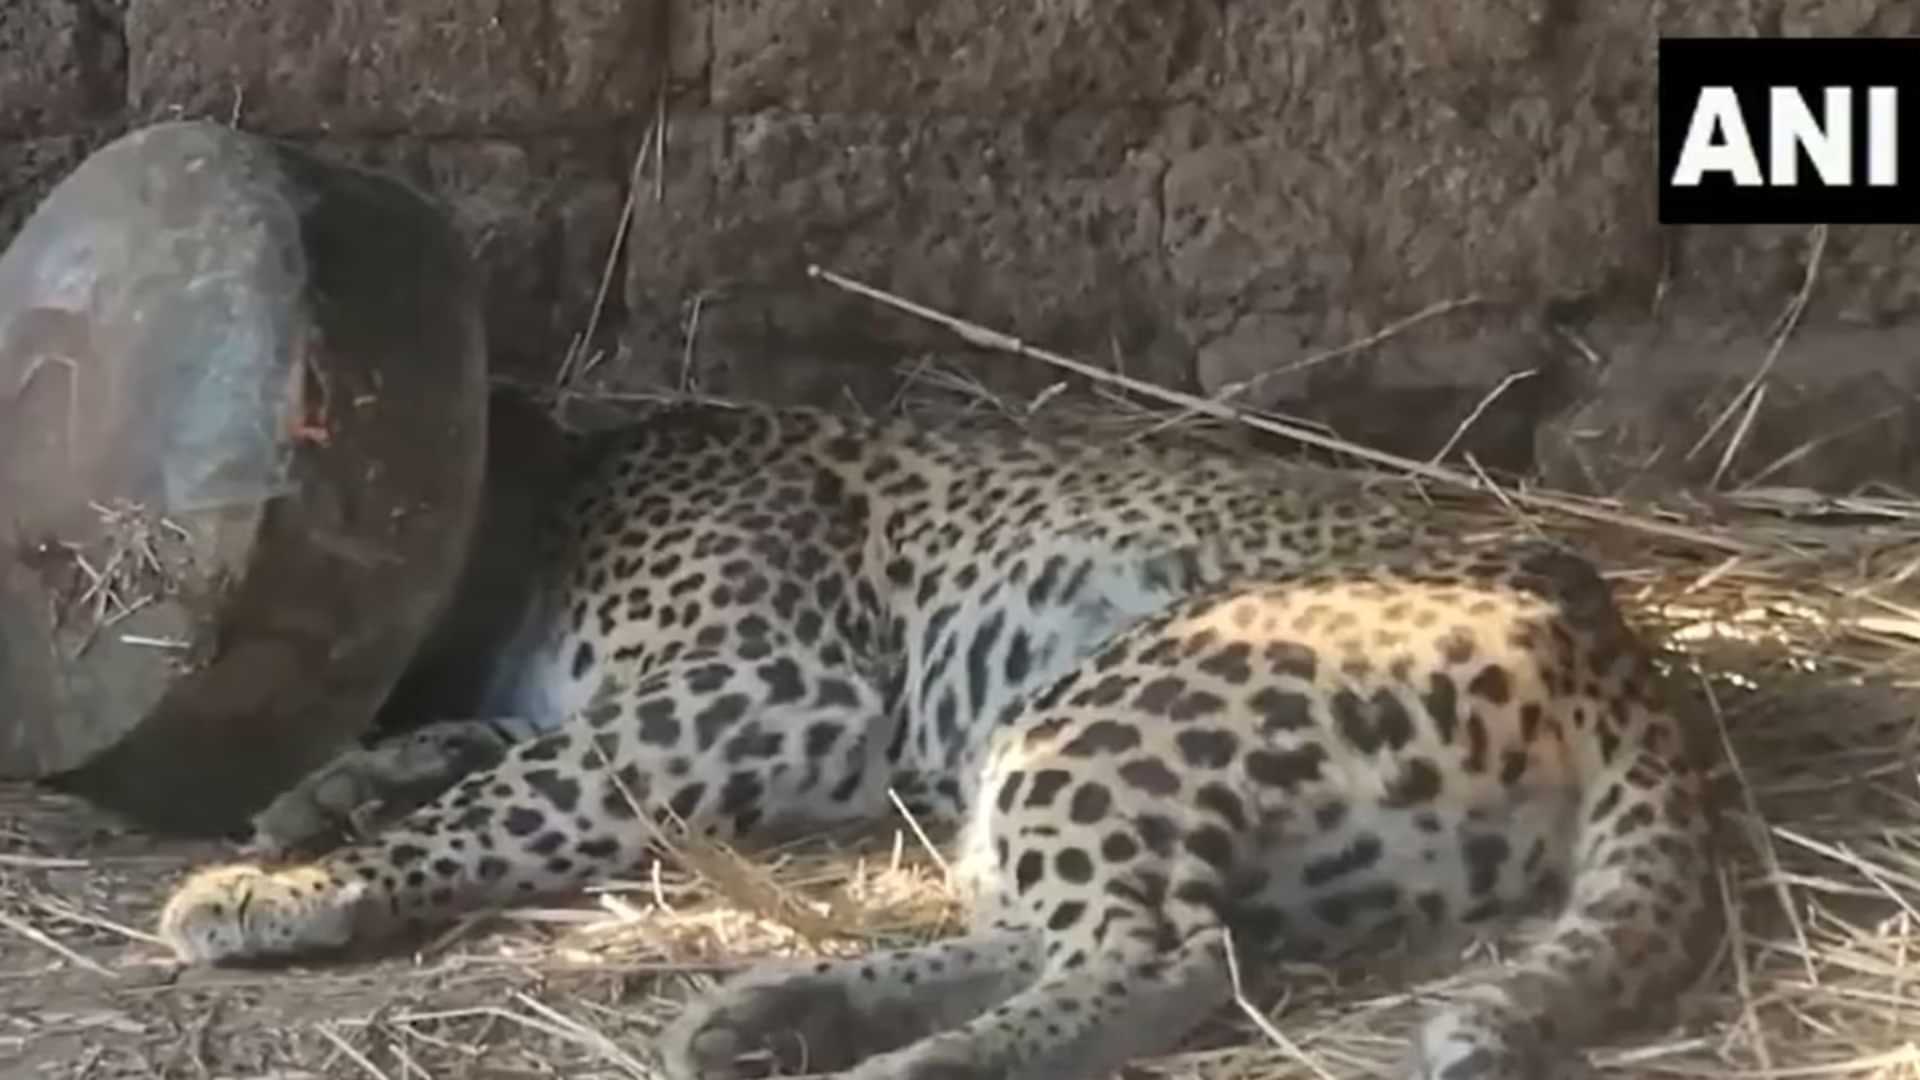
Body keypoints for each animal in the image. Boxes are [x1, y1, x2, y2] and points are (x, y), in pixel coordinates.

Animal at [155, 400, 1716, 1079]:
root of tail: (1611, 631)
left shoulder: (767, 691)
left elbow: (516, 790)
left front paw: (287, 888)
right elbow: (489, 746)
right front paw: (326, 793)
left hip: (1104, 709)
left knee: (1164, 956)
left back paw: (907, 1065)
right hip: (1065, 767)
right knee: (1075, 927)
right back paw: (774, 1017)